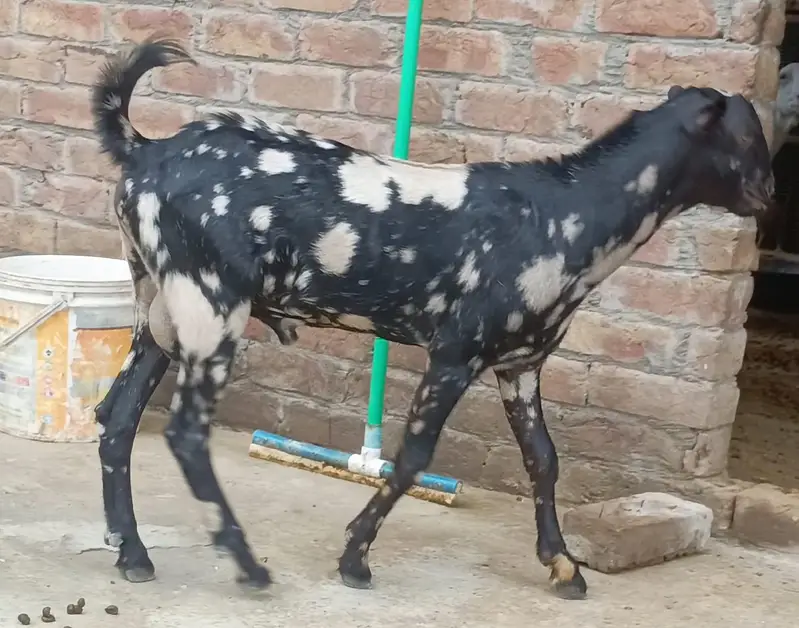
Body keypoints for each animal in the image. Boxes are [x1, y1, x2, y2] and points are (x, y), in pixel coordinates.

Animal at [90, 37, 774, 600]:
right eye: (745, 137)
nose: (768, 194)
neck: (564, 214)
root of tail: (143, 150)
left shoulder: (520, 364)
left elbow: (544, 459)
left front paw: (563, 565)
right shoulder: (456, 353)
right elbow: (415, 454)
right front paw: (355, 556)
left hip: (161, 311)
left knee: (117, 417)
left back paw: (133, 552)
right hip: (211, 305)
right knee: (184, 432)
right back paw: (245, 563)